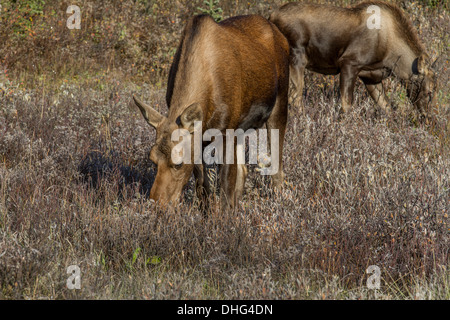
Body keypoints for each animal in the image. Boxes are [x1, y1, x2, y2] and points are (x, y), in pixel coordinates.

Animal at [132, 14, 290, 210]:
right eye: (152, 159)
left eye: (178, 163)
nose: (157, 204)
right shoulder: (200, 139)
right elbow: (203, 186)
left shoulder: (226, 134)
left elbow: (226, 187)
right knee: (243, 170)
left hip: (280, 103)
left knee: (276, 167)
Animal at [268, 0, 438, 117]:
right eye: (430, 92)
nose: (428, 117)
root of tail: (271, 17)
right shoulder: (349, 64)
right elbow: (346, 105)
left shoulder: (371, 77)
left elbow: (387, 108)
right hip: (297, 58)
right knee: (294, 98)